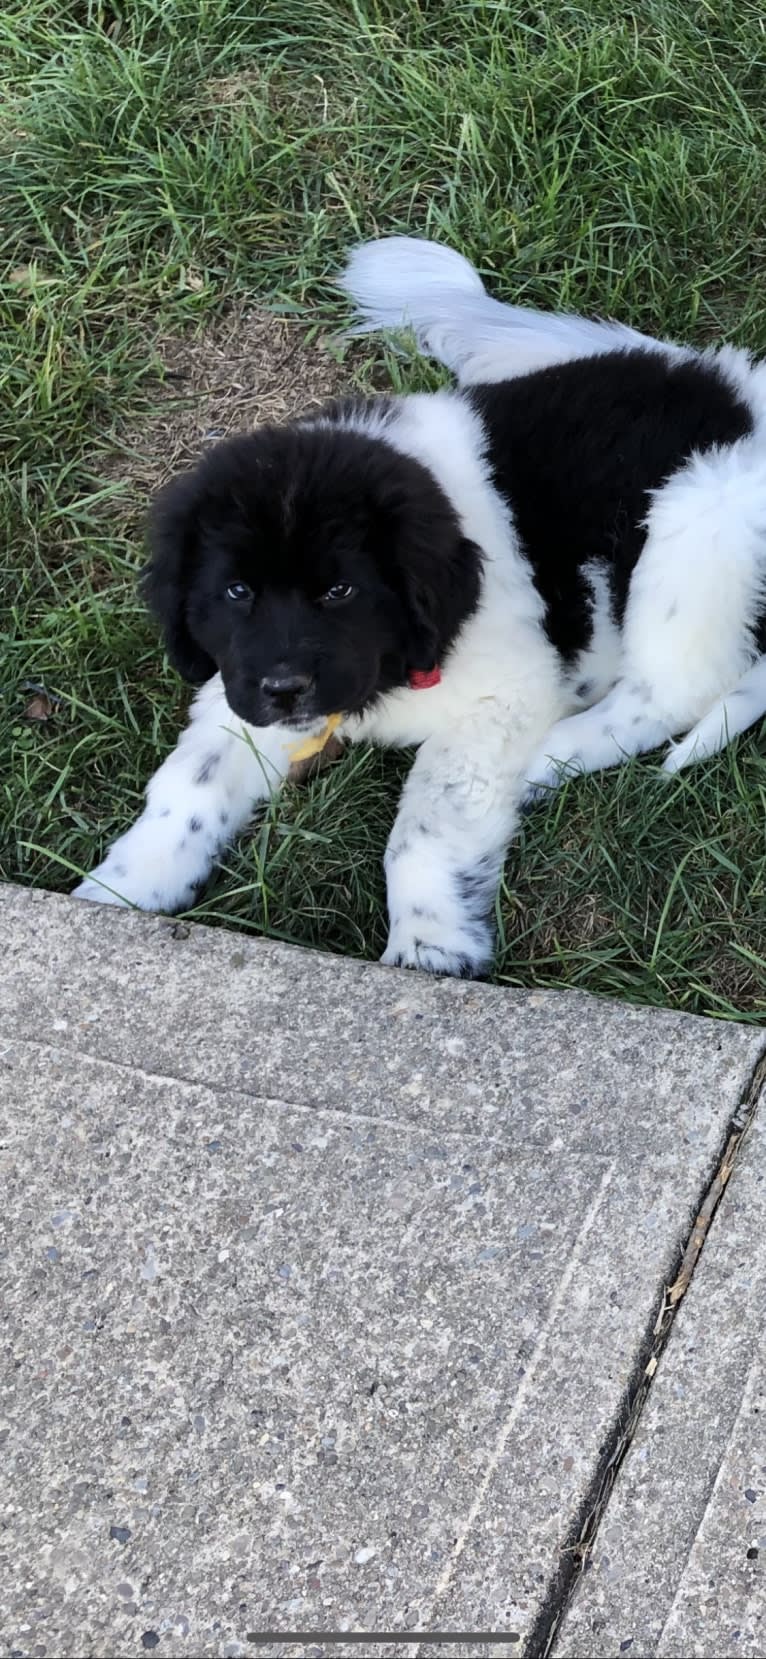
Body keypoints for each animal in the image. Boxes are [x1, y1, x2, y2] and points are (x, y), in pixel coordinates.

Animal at [74, 240, 766, 975]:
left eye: (341, 590)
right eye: (237, 592)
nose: (286, 690)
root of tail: (745, 387)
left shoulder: (503, 697)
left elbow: (425, 824)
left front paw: (429, 947)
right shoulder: (236, 683)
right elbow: (190, 788)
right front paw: (118, 893)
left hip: (698, 521)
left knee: (671, 691)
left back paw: (552, 757)